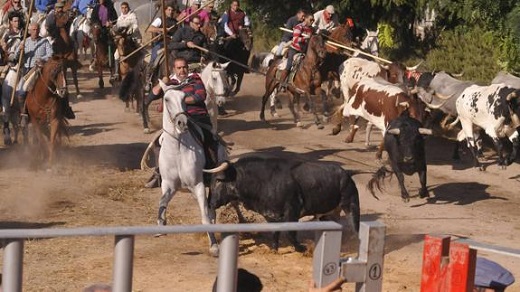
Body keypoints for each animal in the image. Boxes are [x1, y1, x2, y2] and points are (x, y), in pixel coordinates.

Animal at [154, 78, 228, 256]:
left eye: (183, 98)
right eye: (166, 99)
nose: (182, 122)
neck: (178, 149)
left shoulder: (198, 185)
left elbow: (205, 217)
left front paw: (214, 246)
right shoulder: (169, 185)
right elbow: (162, 203)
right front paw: (161, 224)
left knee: (211, 209)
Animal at [207, 156, 362, 252]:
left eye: (218, 181)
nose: (210, 203)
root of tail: (346, 173)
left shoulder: (292, 211)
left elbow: (290, 233)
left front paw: (302, 248)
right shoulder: (271, 215)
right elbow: (275, 233)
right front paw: (274, 249)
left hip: (351, 204)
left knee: (356, 228)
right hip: (330, 213)